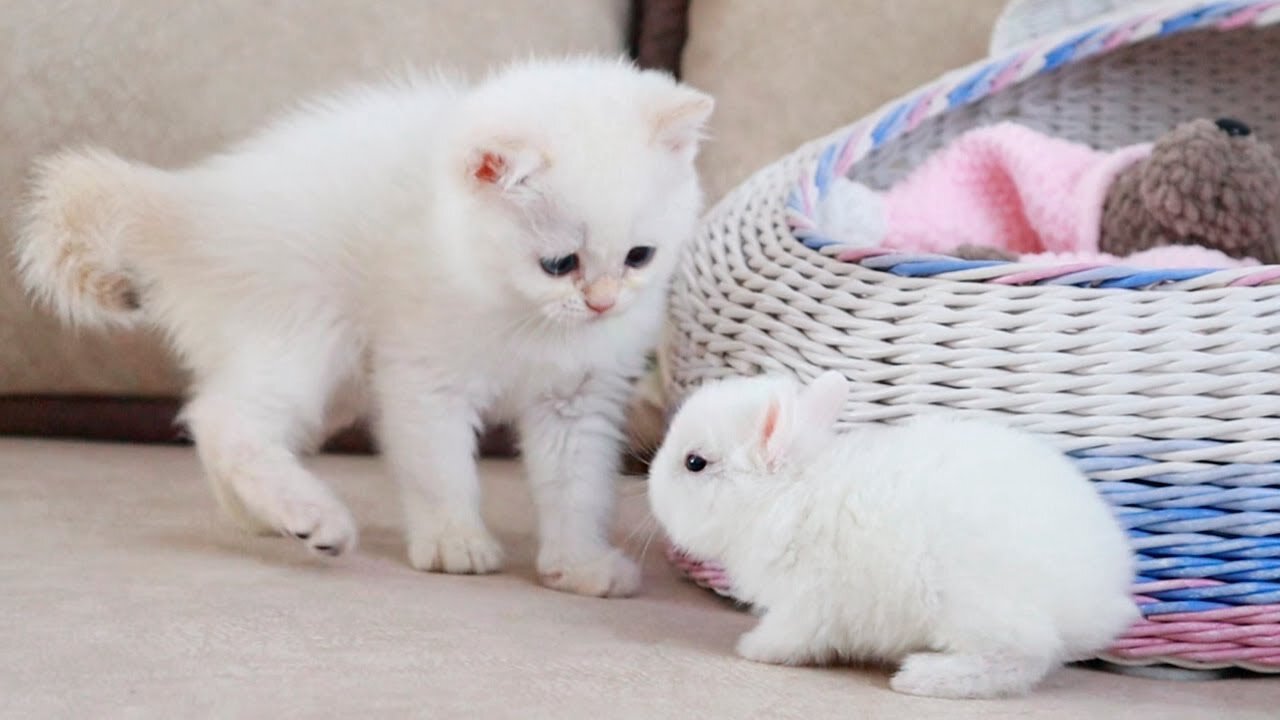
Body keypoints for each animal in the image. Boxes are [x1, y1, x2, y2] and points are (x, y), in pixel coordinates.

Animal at [15, 54, 716, 594]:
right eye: (560, 264)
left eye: (639, 257)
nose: (602, 302)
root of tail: (196, 203)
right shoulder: (423, 379)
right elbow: (439, 468)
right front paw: (454, 542)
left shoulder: (579, 399)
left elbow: (578, 486)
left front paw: (578, 566)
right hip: (306, 334)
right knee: (225, 419)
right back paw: (312, 515)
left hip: (334, 381)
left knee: (219, 425)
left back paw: (262, 516)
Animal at [655, 368, 1136, 696]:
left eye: (694, 463)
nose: (652, 491)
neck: (786, 492)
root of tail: (1101, 599)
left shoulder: (806, 604)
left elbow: (792, 638)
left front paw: (752, 648)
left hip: (976, 610)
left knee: (1020, 659)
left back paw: (920, 677)